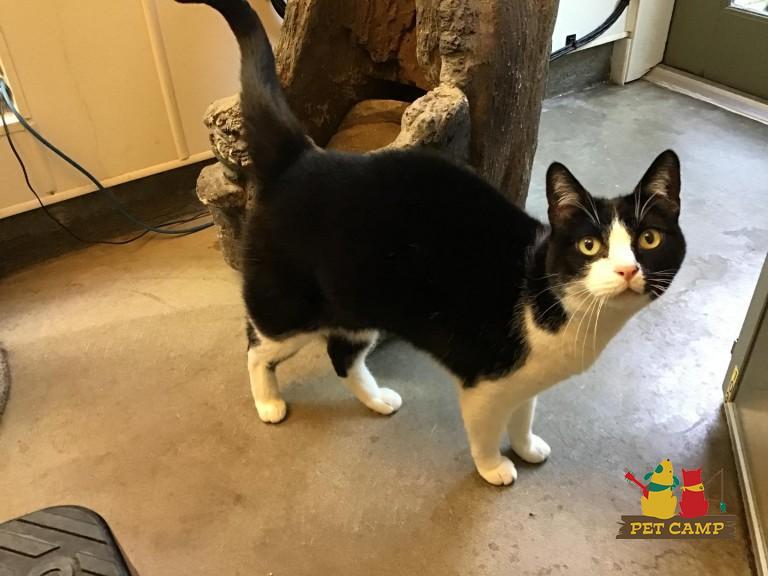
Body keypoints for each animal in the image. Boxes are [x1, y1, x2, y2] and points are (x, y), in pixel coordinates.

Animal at [177, 0, 686, 486]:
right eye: (589, 246)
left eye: (648, 238)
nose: (628, 270)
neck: (555, 306)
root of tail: (302, 155)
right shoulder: (484, 383)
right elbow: (485, 432)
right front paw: (494, 468)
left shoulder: (526, 382)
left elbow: (523, 416)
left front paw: (526, 446)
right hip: (289, 307)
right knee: (256, 346)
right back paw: (268, 403)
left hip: (358, 307)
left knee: (341, 355)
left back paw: (377, 400)